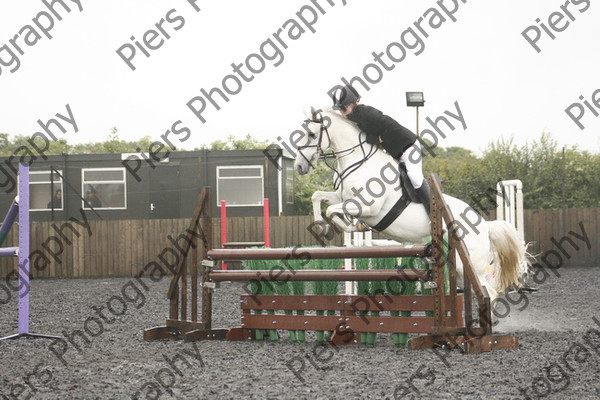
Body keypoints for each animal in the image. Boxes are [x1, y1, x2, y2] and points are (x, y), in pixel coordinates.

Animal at [292, 106, 528, 304]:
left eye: (311, 134)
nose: (299, 166)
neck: (358, 161)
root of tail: (485, 226)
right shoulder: (341, 197)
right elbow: (317, 198)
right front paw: (324, 228)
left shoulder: (368, 207)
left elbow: (333, 211)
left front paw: (348, 226)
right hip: (461, 268)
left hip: (469, 265)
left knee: (490, 292)